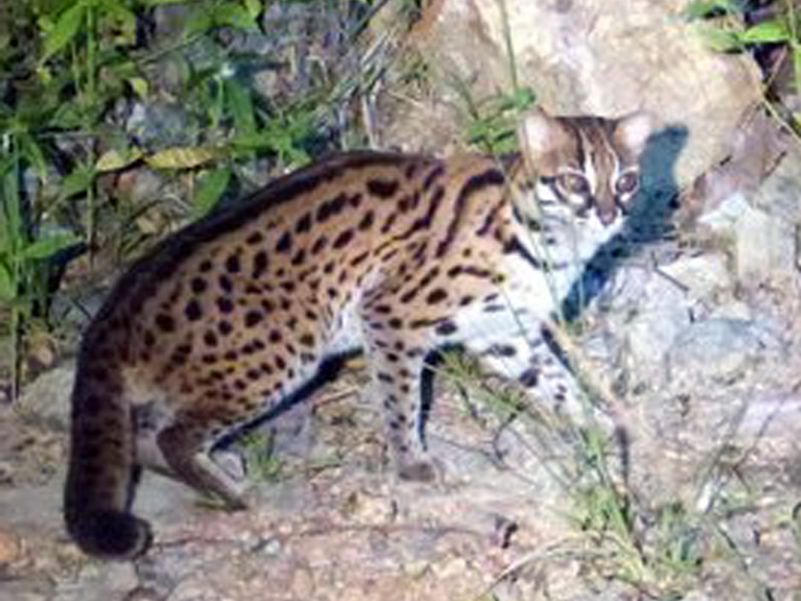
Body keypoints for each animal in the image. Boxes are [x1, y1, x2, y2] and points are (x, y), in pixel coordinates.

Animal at [62, 106, 648, 556]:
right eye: (573, 181)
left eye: (626, 181)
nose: (608, 214)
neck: (545, 241)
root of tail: (119, 304)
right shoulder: (390, 314)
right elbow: (401, 400)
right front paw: (411, 462)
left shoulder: (502, 333)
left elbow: (557, 383)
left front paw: (600, 422)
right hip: (285, 347)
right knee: (171, 435)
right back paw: (236, 494)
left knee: (144, 436)